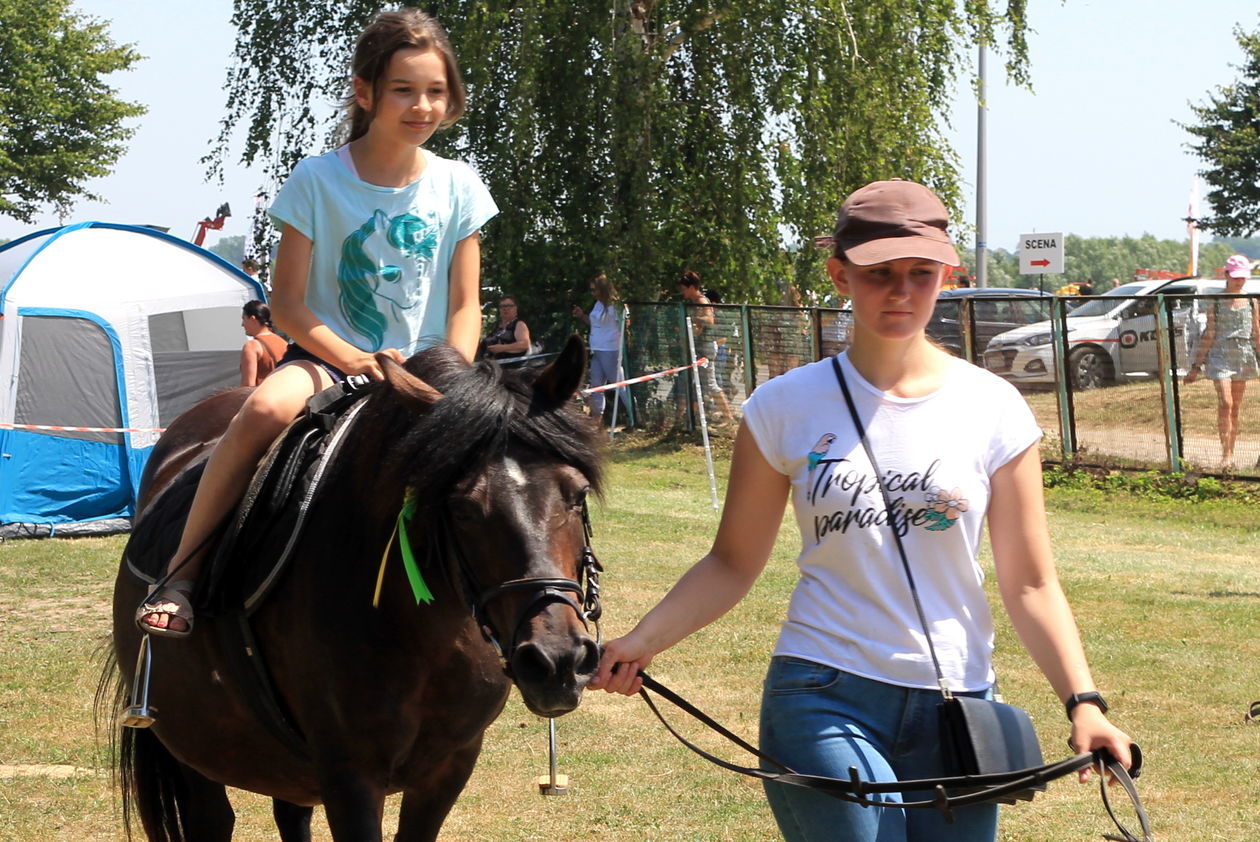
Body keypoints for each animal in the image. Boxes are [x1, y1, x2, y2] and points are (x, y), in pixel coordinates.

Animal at [103, 337, 604, 836]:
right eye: (461, 507)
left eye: (577, 494)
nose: (556, 661)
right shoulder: (350, 777)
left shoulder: (451, 765)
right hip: (194, 748)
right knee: (212, 819)